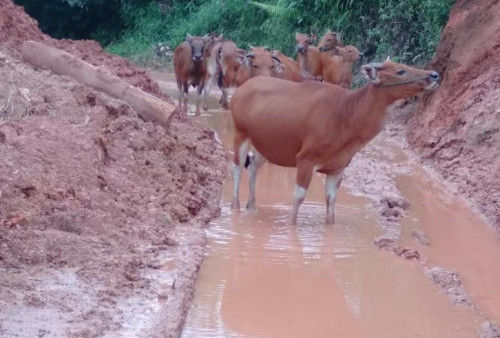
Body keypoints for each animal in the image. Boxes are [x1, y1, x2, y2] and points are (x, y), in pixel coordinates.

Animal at [229, 60, 440, 224]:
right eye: (400, 70)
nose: (434, 74)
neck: (346, 114)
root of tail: (241, 90)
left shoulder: (337, 168)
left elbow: (331, 202)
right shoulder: (305, 160)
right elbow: (298, 198)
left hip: (264, 144)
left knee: (253, 167)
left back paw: (252, 207)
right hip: (240, 134)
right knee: (238, 168)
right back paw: (235, 206)